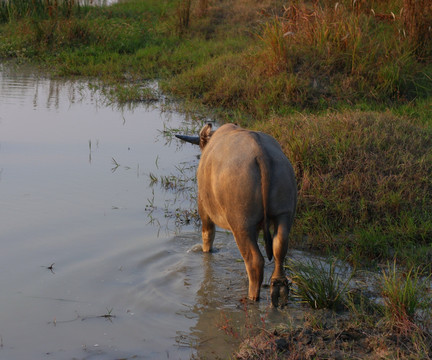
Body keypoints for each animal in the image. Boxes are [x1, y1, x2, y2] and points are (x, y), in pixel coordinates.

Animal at [176, 124, 296, 306]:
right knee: (279, 249)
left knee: (255, 261)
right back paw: (278, 288)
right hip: (284, 213)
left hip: (241, 223)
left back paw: (252, 297)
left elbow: (208, 235)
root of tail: (261, 153)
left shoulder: (203, 207)